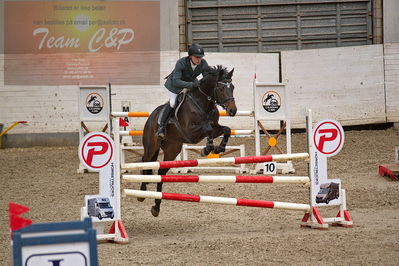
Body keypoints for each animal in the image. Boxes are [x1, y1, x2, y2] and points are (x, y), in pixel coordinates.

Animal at [139, 65, 238, 217]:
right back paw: (142, 192)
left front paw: (218, 148)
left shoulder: (215, 128)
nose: (233, 111)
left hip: (172, 150)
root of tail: (151, 117)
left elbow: (225, 130)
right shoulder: (190, 131)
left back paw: (156, 207)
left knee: (161, 172)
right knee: (146, 161)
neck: (204, 103)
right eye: (221, 88)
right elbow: (207, 128)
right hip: (151, 145)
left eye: (232, 87)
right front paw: (207, 149)